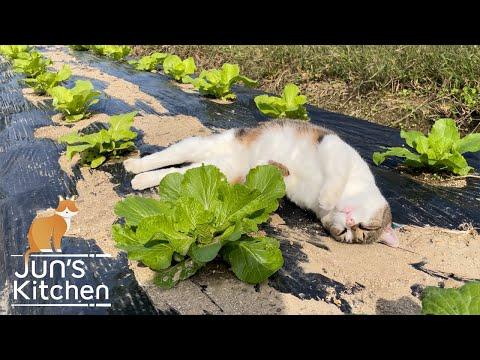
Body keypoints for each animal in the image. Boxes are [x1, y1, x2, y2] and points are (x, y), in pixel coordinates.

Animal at [123, 121, 398, 248]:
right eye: (365, 227)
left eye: (346, 234)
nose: (349, 223)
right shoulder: (334, 146)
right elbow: (335, 176)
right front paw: (327, 198)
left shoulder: (290, 187)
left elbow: (277, 174)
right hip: (198, 145)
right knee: (166, 157)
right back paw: (135, 165)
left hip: (214, 171)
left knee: (173, 174)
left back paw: (140, 179)